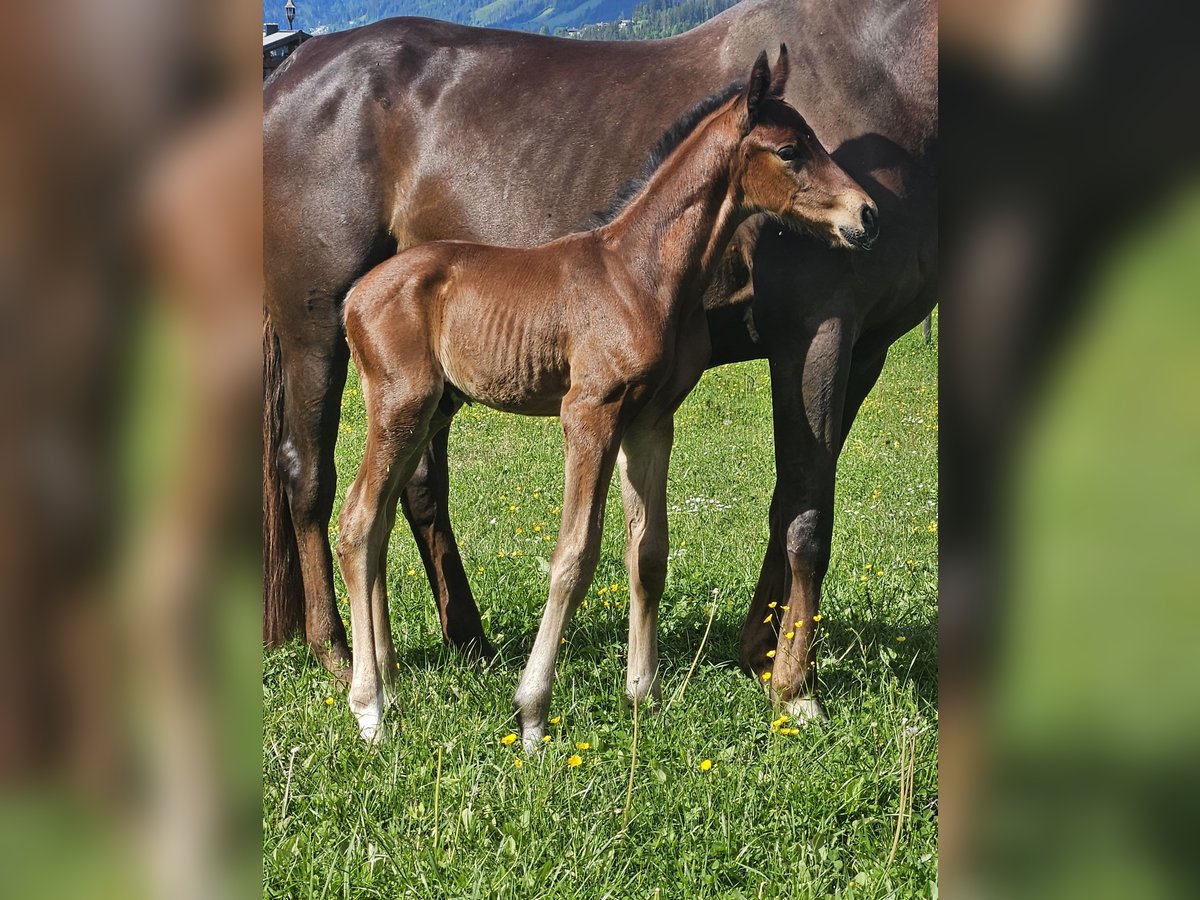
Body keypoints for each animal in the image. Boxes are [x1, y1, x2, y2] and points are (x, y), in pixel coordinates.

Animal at [262, 0, 936, 724]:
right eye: (790, 150)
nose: (865, 216)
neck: (636, 265)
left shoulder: (662, 414)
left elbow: (657, 547)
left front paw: (668, 684)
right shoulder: (608, 404)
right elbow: (581, 552)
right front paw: (535, 707)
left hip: (427, 403)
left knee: (395, 504)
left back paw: (413, 658)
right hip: (342, 356)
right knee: (332, 497)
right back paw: (352, 677)